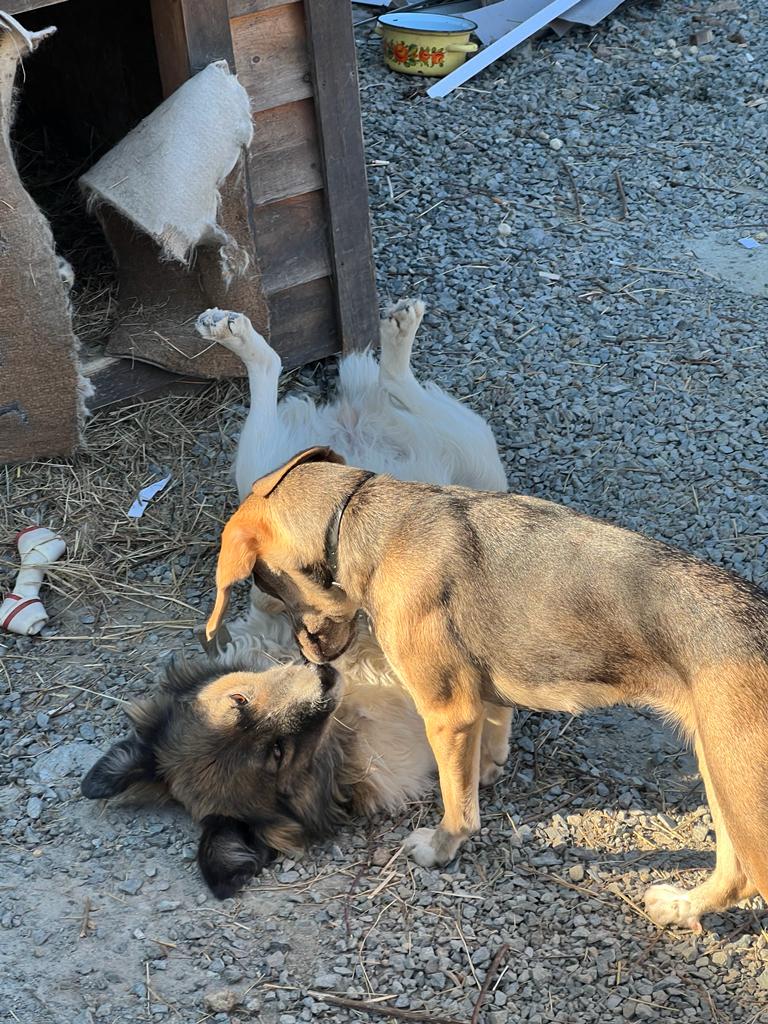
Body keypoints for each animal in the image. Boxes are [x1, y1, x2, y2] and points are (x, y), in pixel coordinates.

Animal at [207, 452, 768, 933]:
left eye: (269, 586)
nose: (312, 658)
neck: (367, 520)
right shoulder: (477, 697)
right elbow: (492, 733)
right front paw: (487, 767)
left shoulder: (446, 710)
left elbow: (459, 809)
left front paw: (440, 848)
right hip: (720, 779)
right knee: (734, 875)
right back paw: (680, 907)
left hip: (742, 798)